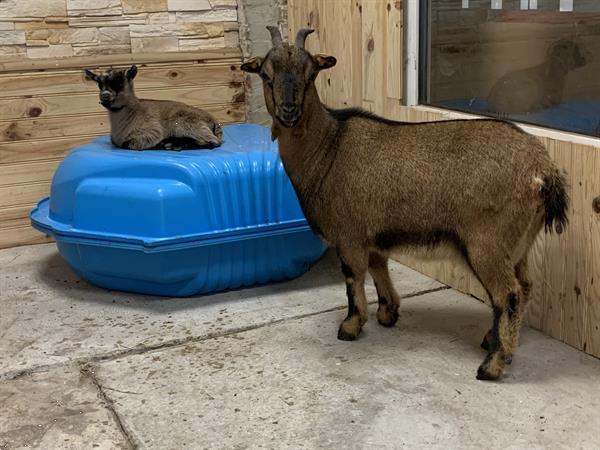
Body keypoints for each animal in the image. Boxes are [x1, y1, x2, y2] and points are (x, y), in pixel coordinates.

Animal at [241, 26, 568, 382]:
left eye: (311, 72)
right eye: (266, 74)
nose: (289, 111)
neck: (328, 148)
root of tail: (544, 170)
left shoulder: (350, 235)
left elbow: (353, 277)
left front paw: (350, 326)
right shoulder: (372, 235)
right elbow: (378, 267)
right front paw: (387, 313)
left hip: (487, 242)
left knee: (507, 295)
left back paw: (492, 364)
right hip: (519, 244)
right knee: (524, 287)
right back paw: (493, 340)